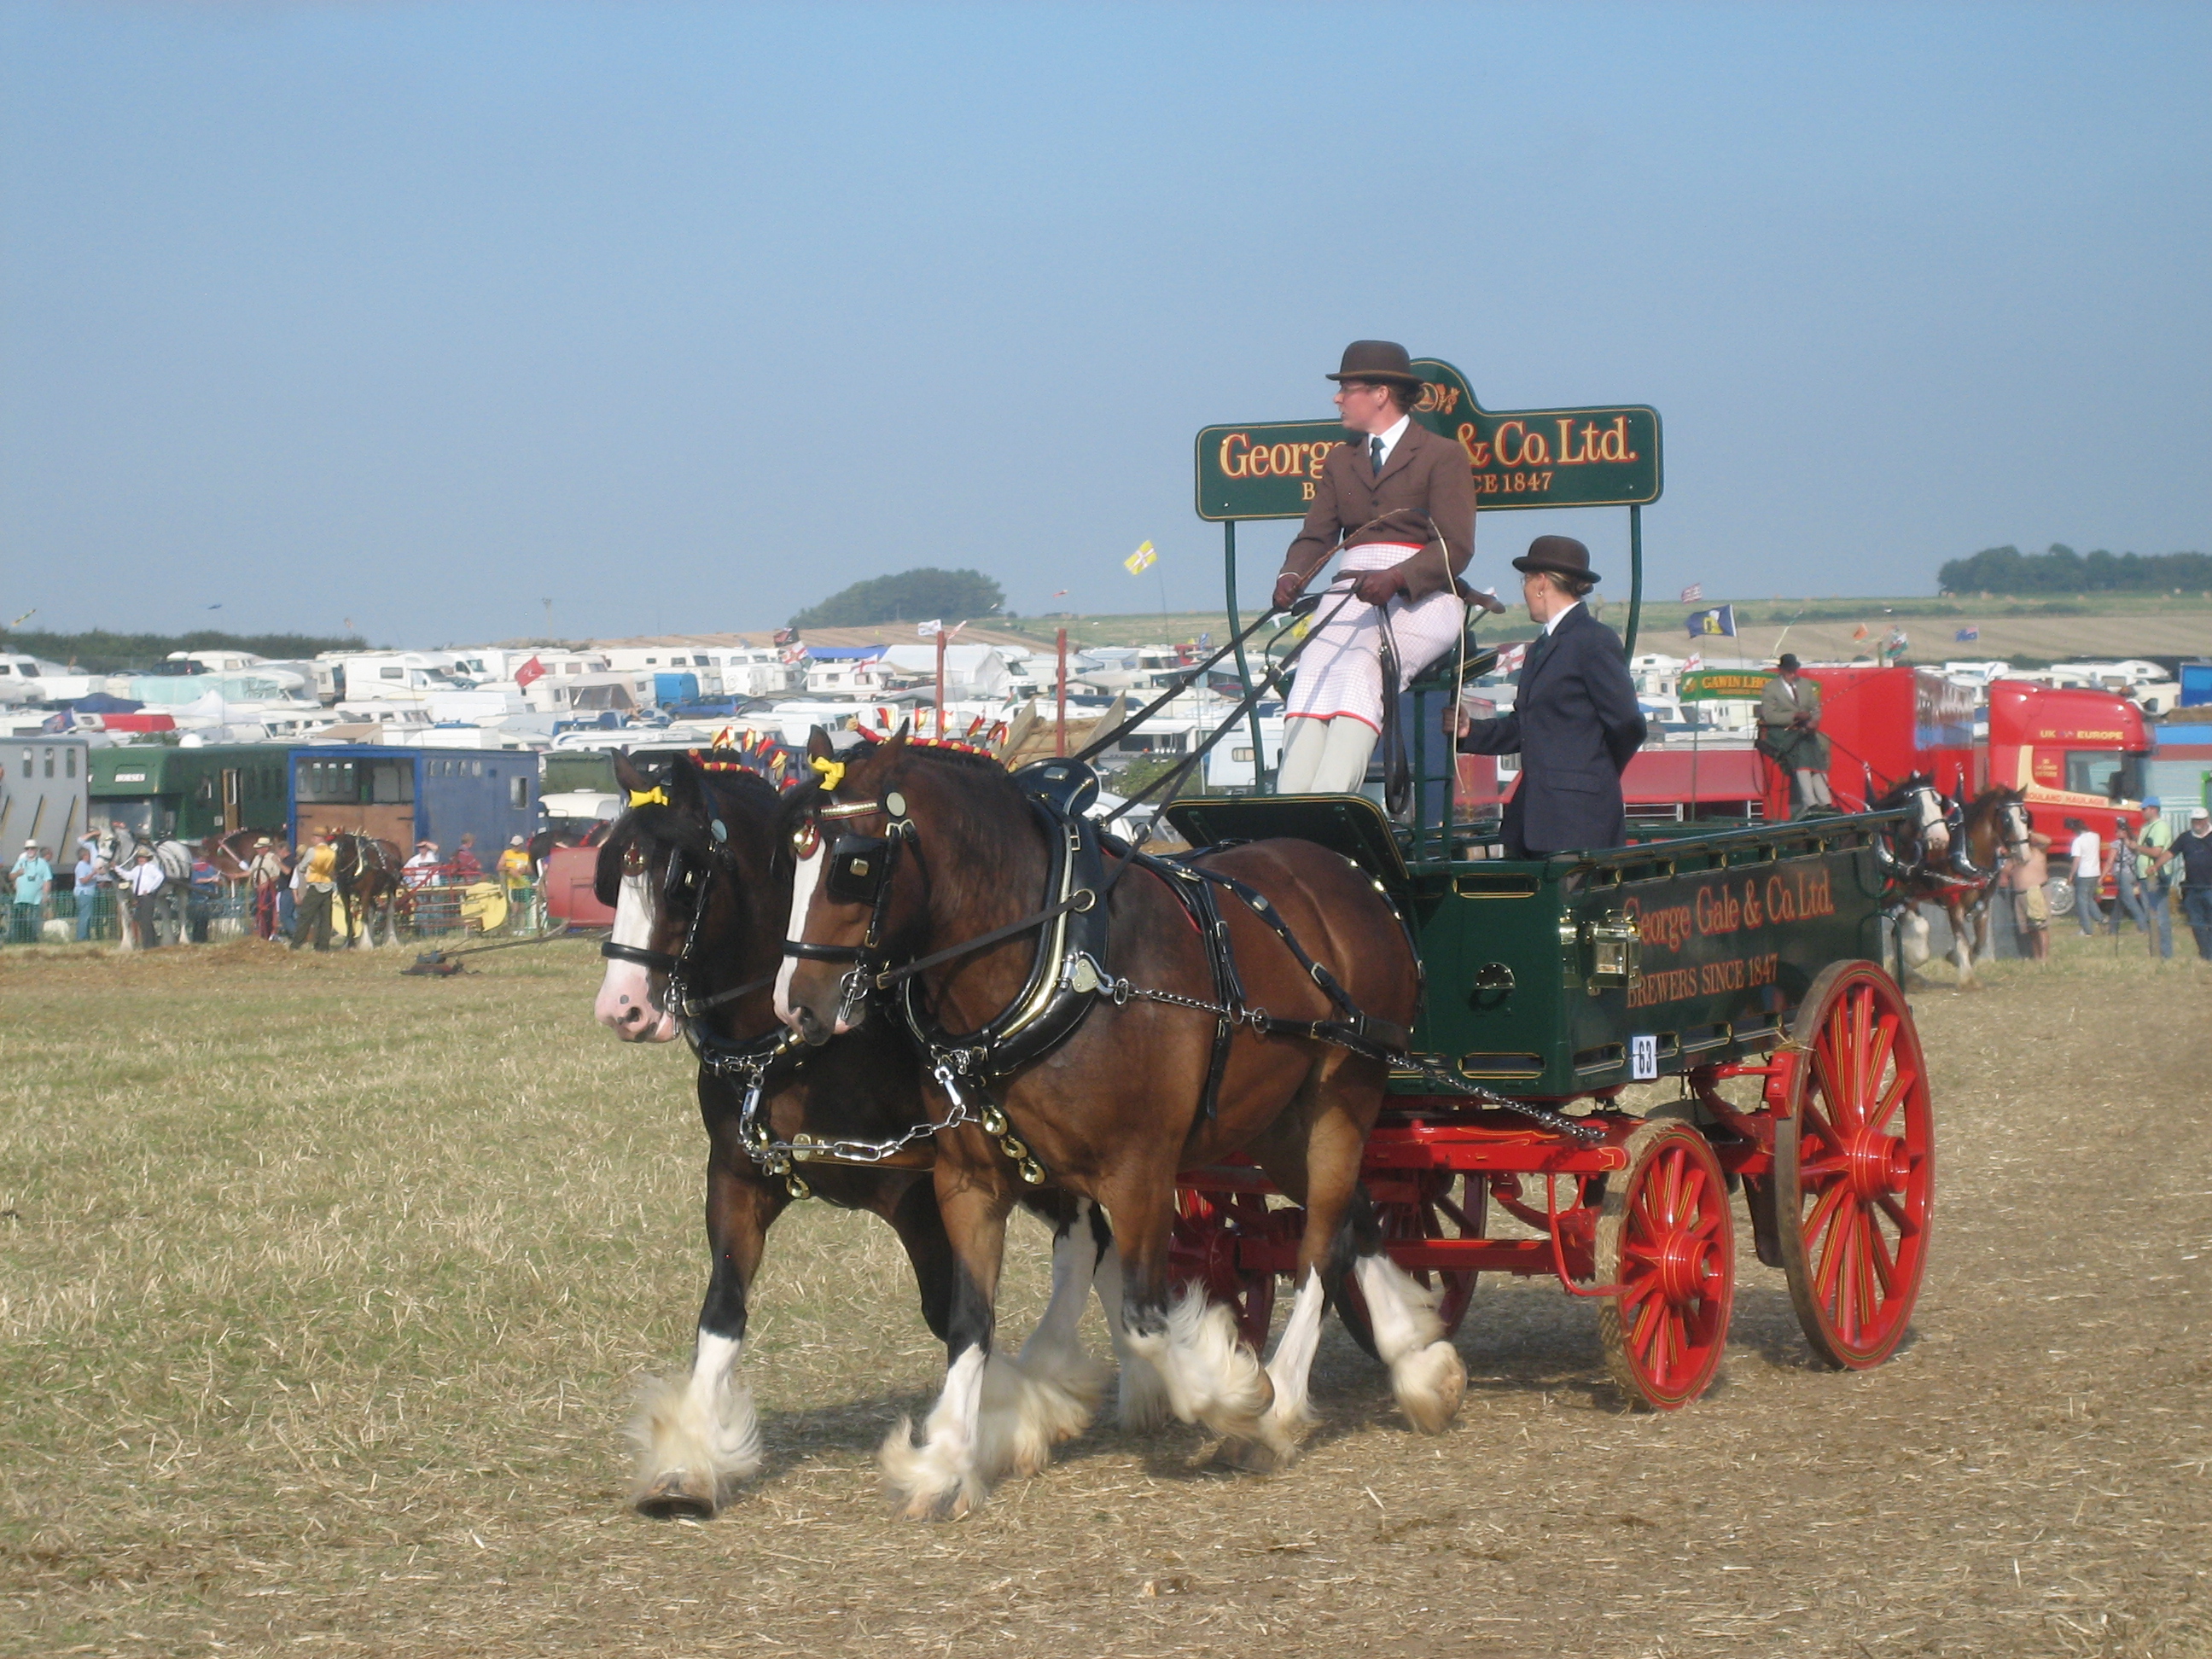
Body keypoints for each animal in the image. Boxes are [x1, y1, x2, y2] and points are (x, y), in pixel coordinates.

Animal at [588, 752, 1141, 1522]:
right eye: (612, 872)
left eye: (685, 876)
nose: (623, 1009)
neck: (798, 1044)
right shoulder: (736, 1177)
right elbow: (721, 1312)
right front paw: (687, 1463)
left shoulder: (918, 1190)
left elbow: (952, 1310)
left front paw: (1008, 1419)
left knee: (1086, 1235)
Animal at [783, 730, 1451, 1522]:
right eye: (787, 859)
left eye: (853, 864)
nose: (797, 1007)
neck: (1054, 958)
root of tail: (1356, 882)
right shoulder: (972, 1181)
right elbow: (970, 1319)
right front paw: (943, 1461)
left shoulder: (1139, 1176)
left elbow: (1145, 1317)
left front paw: (1231, 1389)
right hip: (1276, 1124)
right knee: (1356, 1214)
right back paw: (1419, 1360)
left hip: (1342, 1096)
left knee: (1320, 1245)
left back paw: (1282, 1407)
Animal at [1876, 778, 2026, 995]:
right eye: (2007, 819)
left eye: (2025, 817)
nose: (2025, 854)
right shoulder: (1953, 905)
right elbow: (1960, 939)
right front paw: (1967, 979)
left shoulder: (1983, 904)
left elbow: (1980, 941)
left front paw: (1956, 959)